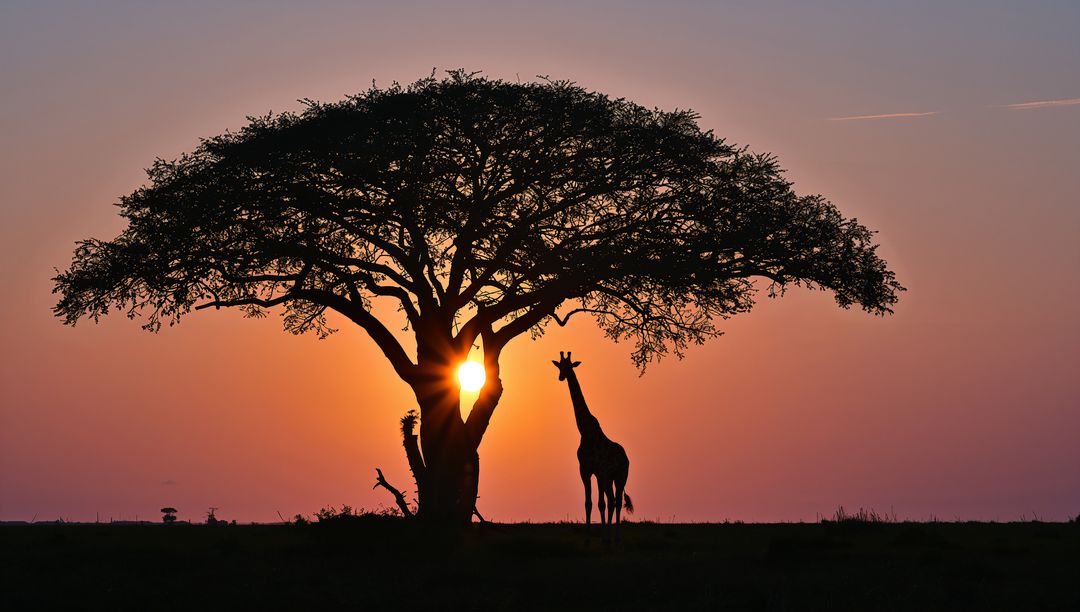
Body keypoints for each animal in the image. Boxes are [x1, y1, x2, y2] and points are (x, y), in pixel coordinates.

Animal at [552, 351, 633, 541]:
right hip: (610, 478)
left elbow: (599, 503)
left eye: (570, 366)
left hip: (621, 476)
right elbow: (589, 503)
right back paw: (609, 536)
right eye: (559, 366)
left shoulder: (597, 471)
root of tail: (626, 457)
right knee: (612, 501)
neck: (585, 432)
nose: (561, 377)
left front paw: (598, 537)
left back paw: (615, 537)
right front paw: (590, 537)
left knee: (617, 501)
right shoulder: (586, 470)